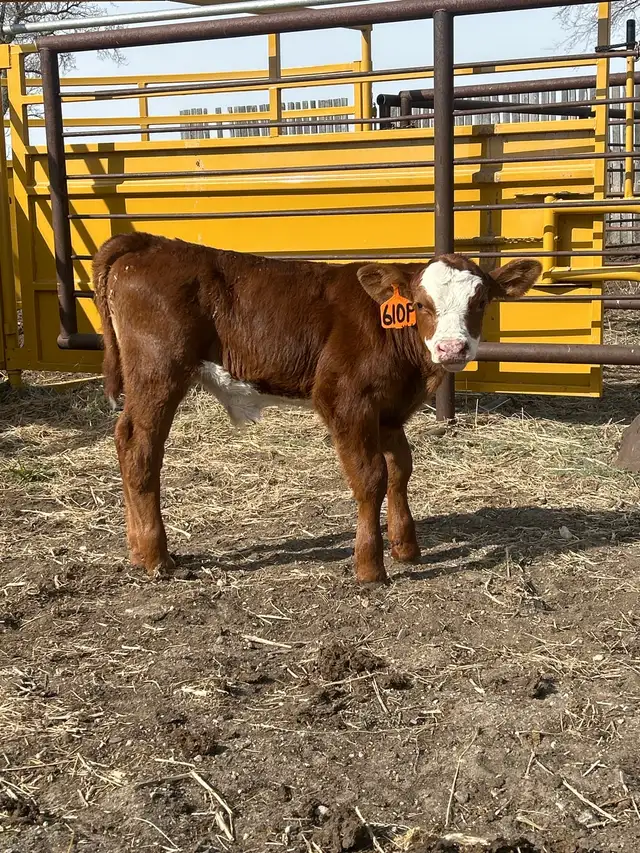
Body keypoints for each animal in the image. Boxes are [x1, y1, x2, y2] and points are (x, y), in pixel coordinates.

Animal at [93, 232, 541, 584]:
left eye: (480, 301)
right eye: (419, 304)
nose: (451, 348)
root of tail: (150, 243)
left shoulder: (390, 409)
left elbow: (400, 470)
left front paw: (405, 547)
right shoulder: (345, 399)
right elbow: (371, 478)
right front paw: (370, 567)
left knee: (124, 439)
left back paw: (137, 550)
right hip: (158, 370)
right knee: (139, 447)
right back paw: (156, 557)